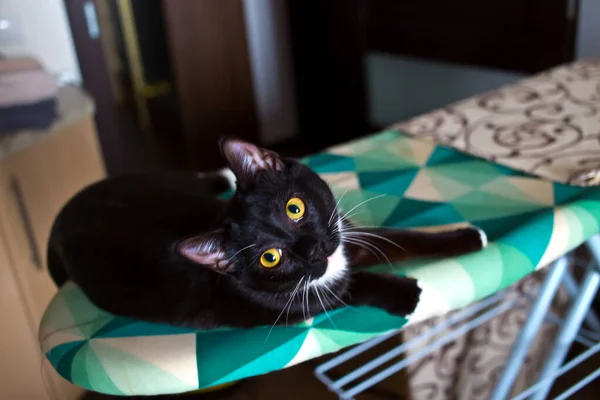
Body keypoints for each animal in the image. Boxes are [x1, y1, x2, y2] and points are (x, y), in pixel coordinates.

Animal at [48, 138, 488, 328]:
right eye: (270, 257)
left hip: (150, 183)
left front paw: (466, 238)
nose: (313, 250)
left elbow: (399, 237)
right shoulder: (290, 302)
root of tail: (61, 214)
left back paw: (221, 174)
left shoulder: (345, 238)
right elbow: (353, 287)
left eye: (295, 208)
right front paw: (406, 294)